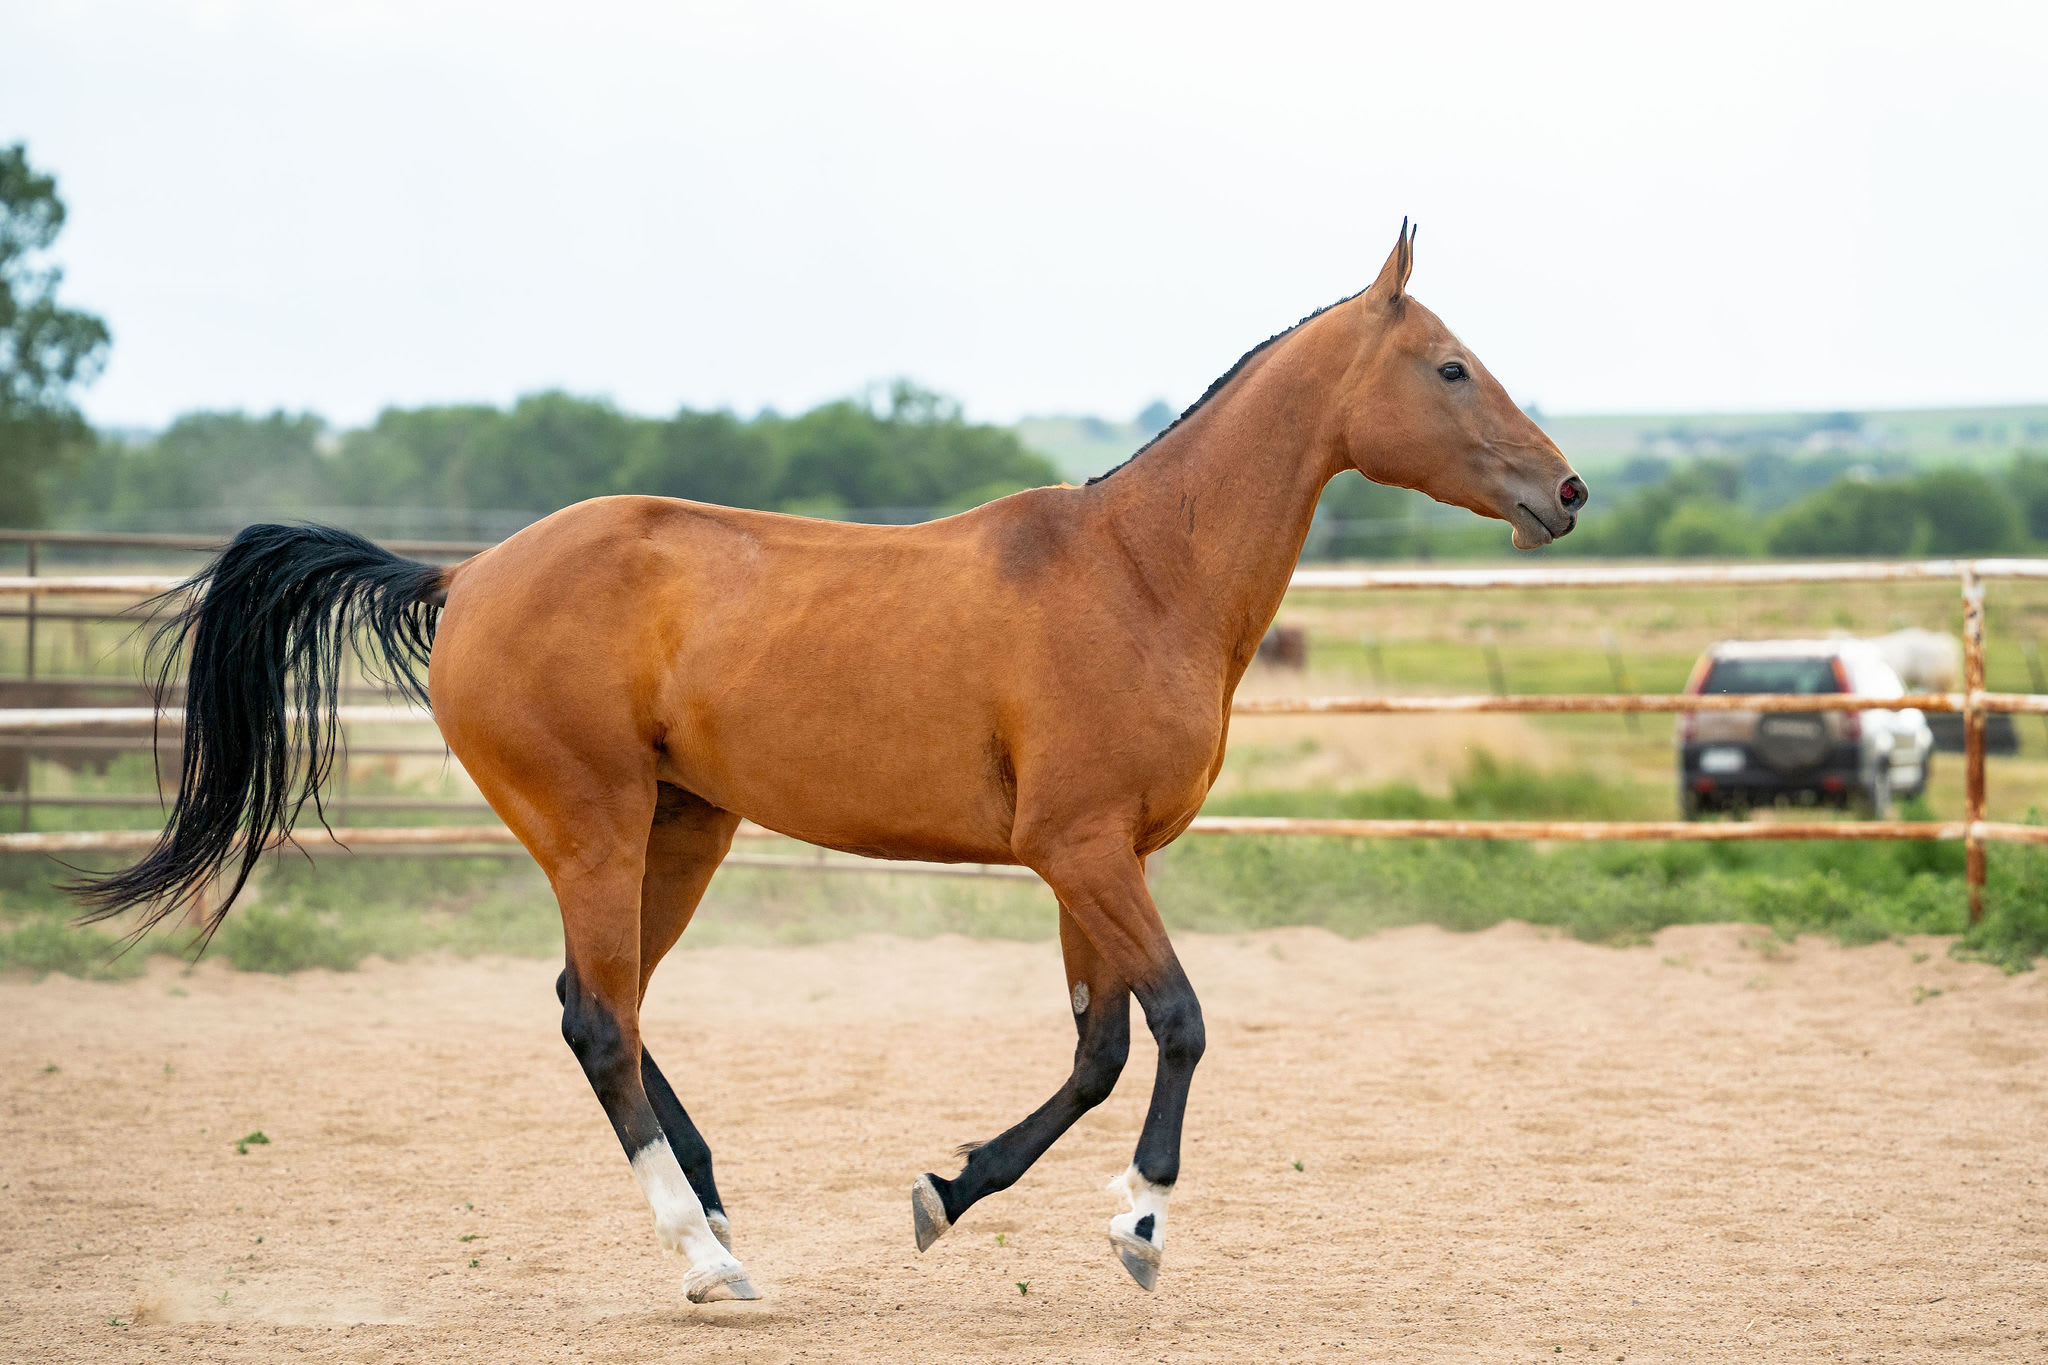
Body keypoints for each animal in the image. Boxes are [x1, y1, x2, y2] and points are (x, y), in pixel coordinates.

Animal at [76, 222, 1586, 1302]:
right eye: (1450, 367)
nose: (1564, 490)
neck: (1143, 574)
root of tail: (464, 577)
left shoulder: (1090, 864)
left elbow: (1098, 1049)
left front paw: (948, 1192)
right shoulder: (1082, 850)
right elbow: (1180, 1023)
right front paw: (1142, 1225)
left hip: (684, 831)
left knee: (599, 1008)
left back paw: (721, 1216)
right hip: (596, 826)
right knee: (601, 1022)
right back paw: (708, 1263)